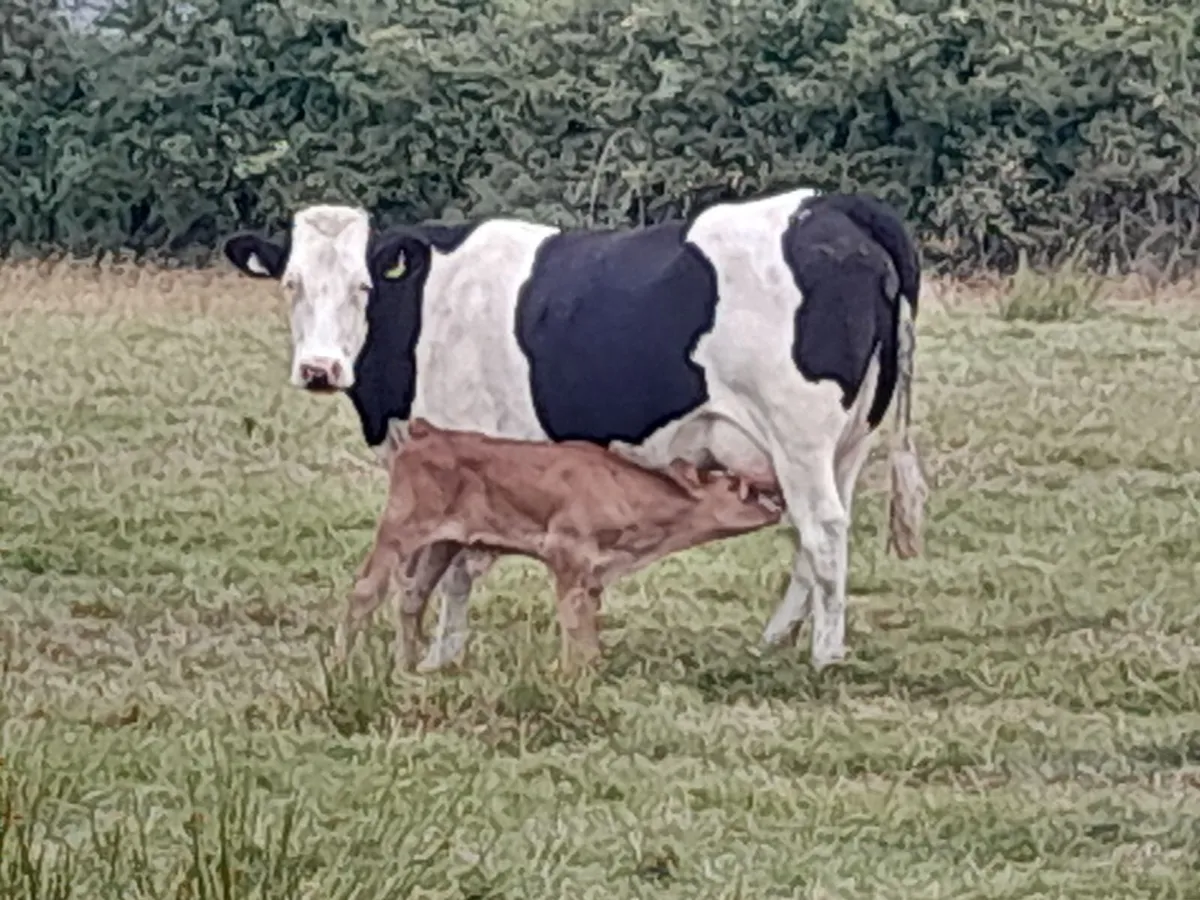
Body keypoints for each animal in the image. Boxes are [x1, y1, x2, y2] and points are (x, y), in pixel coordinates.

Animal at [333, 418, 785, 672]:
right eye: (734, 484)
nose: (778, 497)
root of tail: (429, 432)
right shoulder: (565, 553)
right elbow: (572, 620)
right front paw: (569, 677)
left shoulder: (594, 572)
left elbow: (587, 625)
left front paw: (590, 673)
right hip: (400, 528)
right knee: (365, 590)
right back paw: (341, 666)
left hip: (442, 543)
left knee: (411, 598)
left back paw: (407, 670)